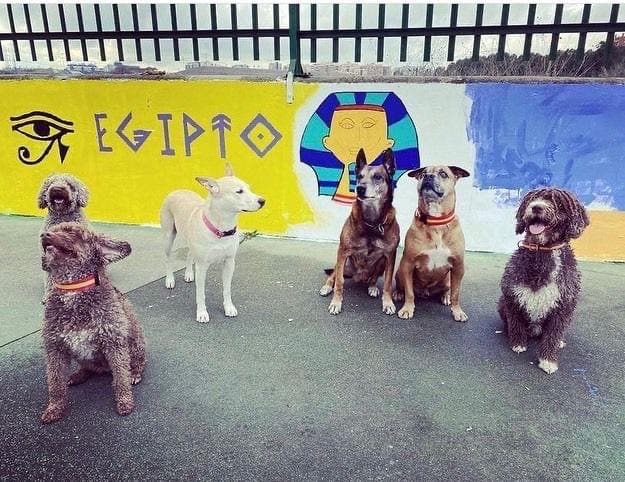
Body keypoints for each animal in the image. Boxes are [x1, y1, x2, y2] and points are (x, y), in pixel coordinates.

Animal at [40, 221, 146, 422]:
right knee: (88, 368)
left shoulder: (114, 343)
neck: (74, 289)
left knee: (136, 364)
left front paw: (124, 402)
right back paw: (78, 375)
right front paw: (55, 408)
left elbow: (121, 378)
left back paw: (135, 373)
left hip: (136, 346)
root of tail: (103, 369)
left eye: (72, 232)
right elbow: (55, 383)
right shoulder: (55, 347)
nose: (44, 235)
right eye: (54, 229)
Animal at [160, 163, 264, 324]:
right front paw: (202, 313)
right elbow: (200, 293)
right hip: (169, 237)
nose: (263, 201)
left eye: (248, 188)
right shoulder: (202, 266)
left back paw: (189, 274)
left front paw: (229, 308)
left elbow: (227, 289)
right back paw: (170, 280)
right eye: (239, 191)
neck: (222, 228)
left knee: (189, 254)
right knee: (168, 258)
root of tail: (177, 190)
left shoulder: (229, 262)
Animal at [494, 187, 588, 372]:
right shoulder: (513, 296)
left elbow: (553, 334)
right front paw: (518, 343)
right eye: (533, 198)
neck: (542, 251)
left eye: (559, 203)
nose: (536, 207)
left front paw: (548, 360)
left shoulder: (563, 304)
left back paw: (559, 342)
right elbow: (516, 322)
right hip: (502, 302)